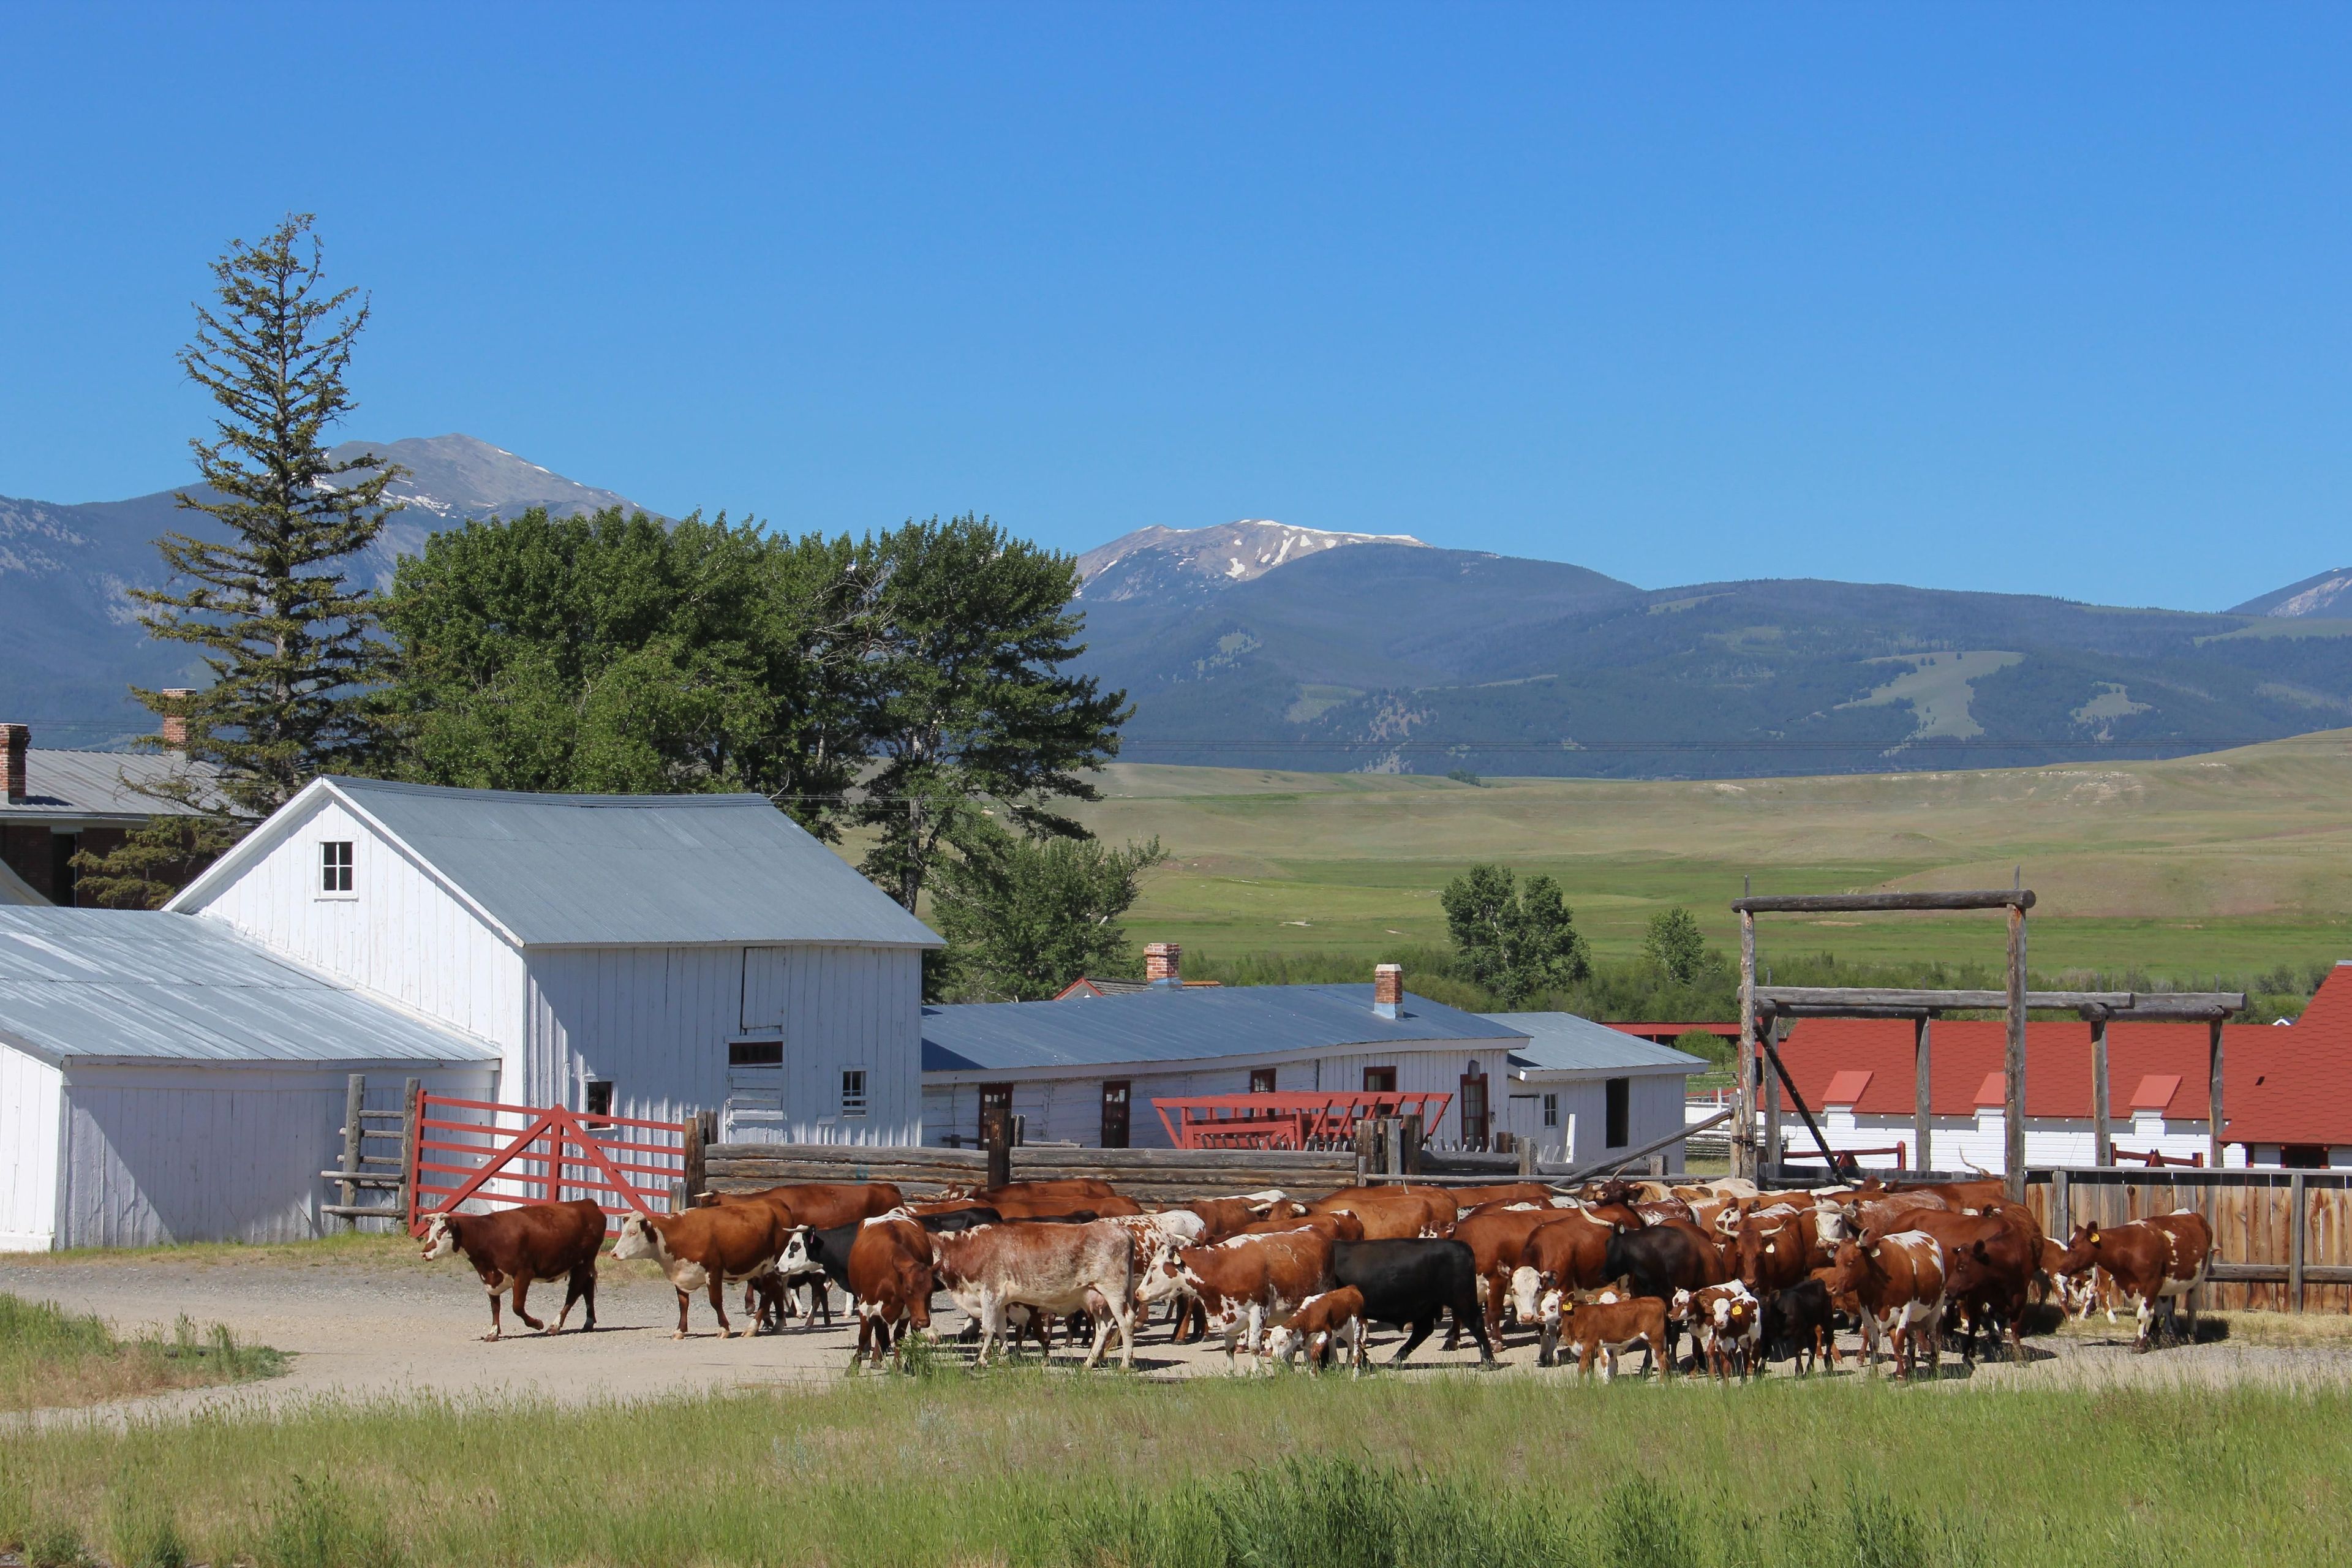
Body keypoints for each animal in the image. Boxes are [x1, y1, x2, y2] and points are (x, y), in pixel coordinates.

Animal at [423, 1194, 606, 1344]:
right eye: (430, 1231)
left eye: (442, 1230)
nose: (424, 1252)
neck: (488, 1235)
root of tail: (587, 1203)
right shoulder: (490, 1279)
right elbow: (495, 1307)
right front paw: (493, 1332)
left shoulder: (523, 1274)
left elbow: (517, 1307)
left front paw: (537, 1324)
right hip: (580, 1265)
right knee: (587, 1289)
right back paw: (588, 1322)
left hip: (583, 1263)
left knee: (573, 1294)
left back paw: (555, 1326)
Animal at [616, 1204, 790, 1335]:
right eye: (623, 1232)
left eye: (633, 1233)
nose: (614, 1253)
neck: (679, 1233)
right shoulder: (681, 1275)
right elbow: (683, 1304)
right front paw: (680, 1330)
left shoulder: (713, 1272)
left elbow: (715, 1301)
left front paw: (724, 1329)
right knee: (775, 1291)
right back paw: (778, 1323)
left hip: (769, 1267)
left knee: (768, 1295)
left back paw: (752, 1328)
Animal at [926, 1213, 1138, 1363]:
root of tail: (1122, 1231)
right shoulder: (1001, 1301)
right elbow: (1001, 1330)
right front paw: (1003, 1357)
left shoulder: (990, 1294)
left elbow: (988, 1329)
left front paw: (982, 1360)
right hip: (1095, 1297)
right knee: (1103, 1326)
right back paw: (1089, 1363)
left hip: (1114, 1292)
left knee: (1126, 1321)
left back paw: (1125, 1364)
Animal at [1261, 1288, 1373, 1373]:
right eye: (1272, 1343)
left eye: (1282, 1342)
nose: (1275, 1357)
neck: (1308, 1316)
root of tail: (1352, 1288)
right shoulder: (1307, 1342)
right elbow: (1308, 1360)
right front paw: (1311, 1375)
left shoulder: (1326, 1333)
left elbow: (1314, 1353)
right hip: (1345, 1331)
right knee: (1350, 1346)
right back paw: (1348, 1368)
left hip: (1356, 1326)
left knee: (1357, 1350)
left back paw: (1355, 1375)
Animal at [1336, 1241, 1496, 1363]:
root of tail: (1462, 1246)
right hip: (1427, 1308)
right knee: (1423, 1330)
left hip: (1462, 1301)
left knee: (1476, 1324)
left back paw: (1487, 1362)